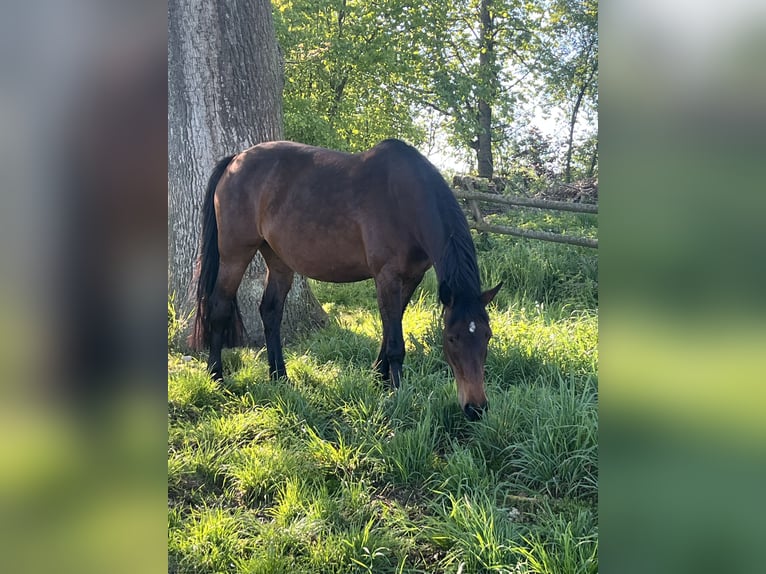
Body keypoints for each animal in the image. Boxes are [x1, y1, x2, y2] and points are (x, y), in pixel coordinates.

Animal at [189, 138, 504, 420]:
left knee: (270, 311)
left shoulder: (411, 278)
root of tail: (236, 160)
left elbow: (390, 328)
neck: (405, 199)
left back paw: (279, 376)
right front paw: (398, 394)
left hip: (278, 259)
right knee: (219, 307)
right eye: (451, 338)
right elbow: (395, 341)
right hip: (234, 254)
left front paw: (379, 378)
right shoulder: (387, 276)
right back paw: (216, 375)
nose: (476, 408)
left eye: (487, 336)